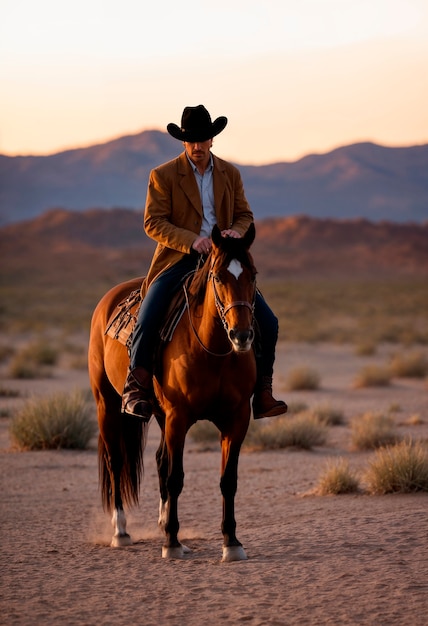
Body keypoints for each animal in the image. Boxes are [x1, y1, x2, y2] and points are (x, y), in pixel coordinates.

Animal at [88, 223, 258, 560]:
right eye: (219, 276)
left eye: (253, 274)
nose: (241, 335)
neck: (214, 352)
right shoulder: (179, 417)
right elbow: (176, 477)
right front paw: (172, 543)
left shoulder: (237, 419)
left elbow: (228, 480)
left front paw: (231, 542)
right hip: (107, 403)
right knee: (117, 460)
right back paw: (121, 531)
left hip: (159, 413)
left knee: (158, 459)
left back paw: (163, 522)